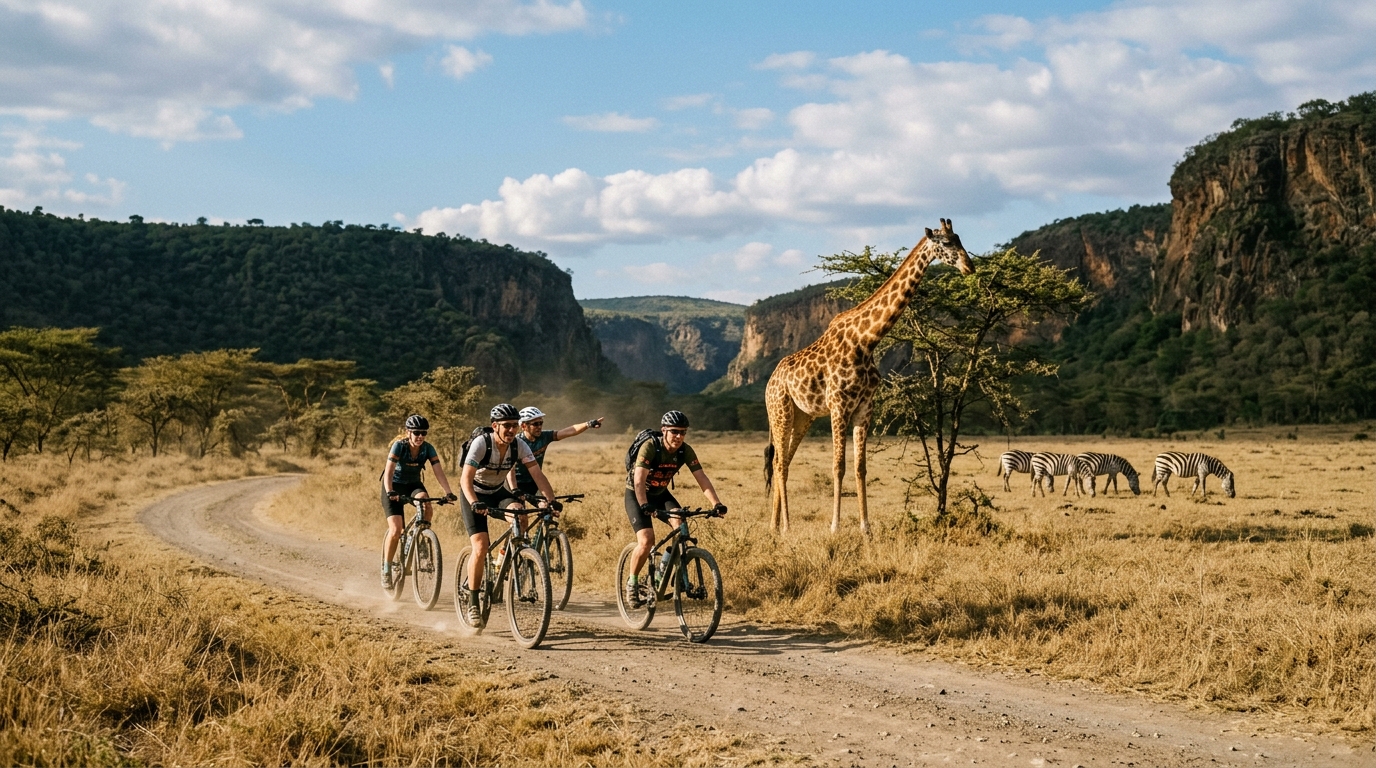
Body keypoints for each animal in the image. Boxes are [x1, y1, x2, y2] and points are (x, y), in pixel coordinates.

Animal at [763, 219, 974, 535]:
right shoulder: (839, 405)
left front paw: (866, 528)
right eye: (947, 243)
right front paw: (835, 527)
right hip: (780, 410)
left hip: (803, 416)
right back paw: (786, 527)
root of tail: (769, 382)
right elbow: (838, 465)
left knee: (784, 459)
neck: (867, 340)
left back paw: (775, 526)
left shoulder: (865, 407)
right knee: (779, 463)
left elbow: (860, 467)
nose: (969, 266)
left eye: (960, 239)